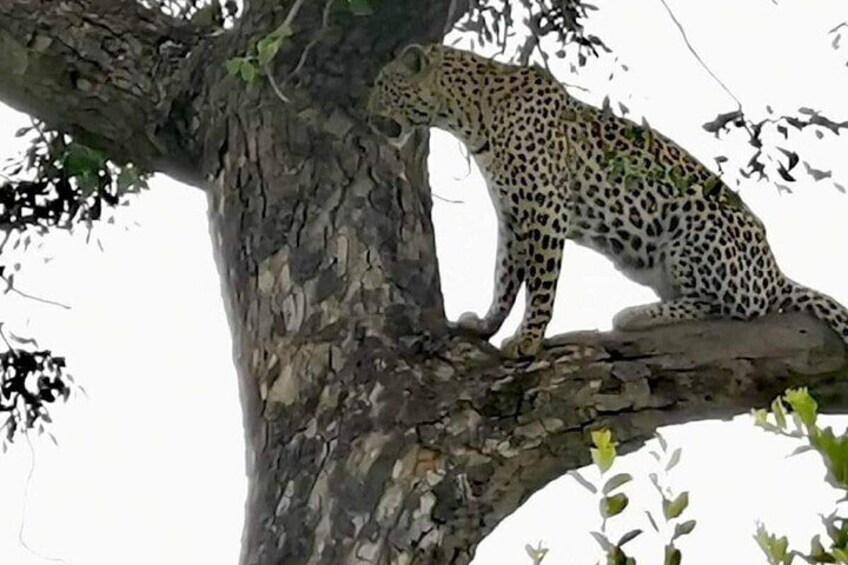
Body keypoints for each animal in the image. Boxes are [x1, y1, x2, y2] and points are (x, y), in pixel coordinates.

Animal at [367, 43, 848, 359]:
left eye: (382, 84)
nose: (367, 115)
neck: (469, 115)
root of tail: (775, 272)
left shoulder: (545, 209)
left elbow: (540, 283)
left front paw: (528, 340)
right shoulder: (513, 214)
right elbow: (504, 277)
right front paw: (485, 326)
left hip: (694, 223)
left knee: (734, 308)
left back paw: (636, 315)